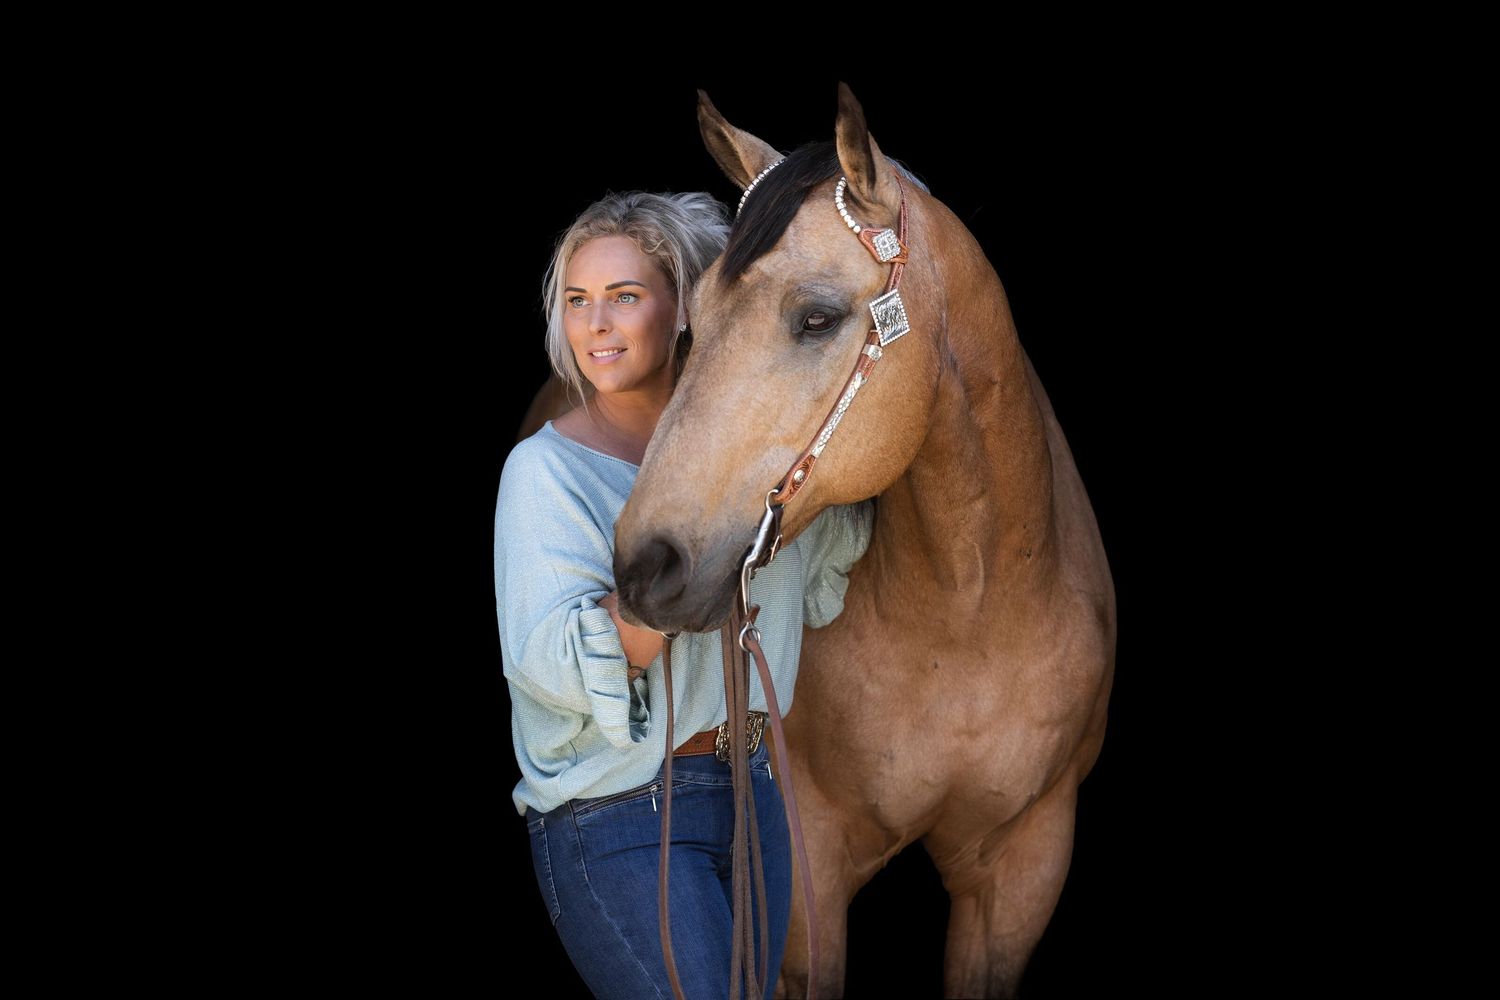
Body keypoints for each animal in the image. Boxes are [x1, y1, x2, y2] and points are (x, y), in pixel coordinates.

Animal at [532, 81, 1116, 999]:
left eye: (816, 318)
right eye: (693, 318)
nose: (644, 565)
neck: (971, 613)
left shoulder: (1023, 869)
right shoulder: (807, 878)